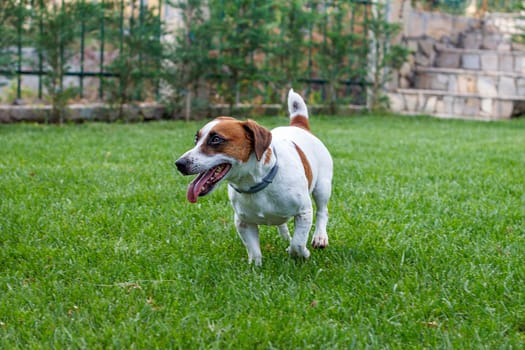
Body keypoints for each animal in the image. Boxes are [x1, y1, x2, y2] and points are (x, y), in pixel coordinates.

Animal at [175, 88, 332, 266]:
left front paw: (302, 253)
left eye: (216, 139)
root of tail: (299, 125)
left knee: (322, 212)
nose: (179, 164)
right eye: (196, 139)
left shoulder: (304, 213)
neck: (257, 183)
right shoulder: (243, 222)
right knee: (283, 224)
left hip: (322, 187)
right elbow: (254, 251)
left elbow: (297, 244)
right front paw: (255, 267)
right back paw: (285, 236)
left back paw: (320, 237)